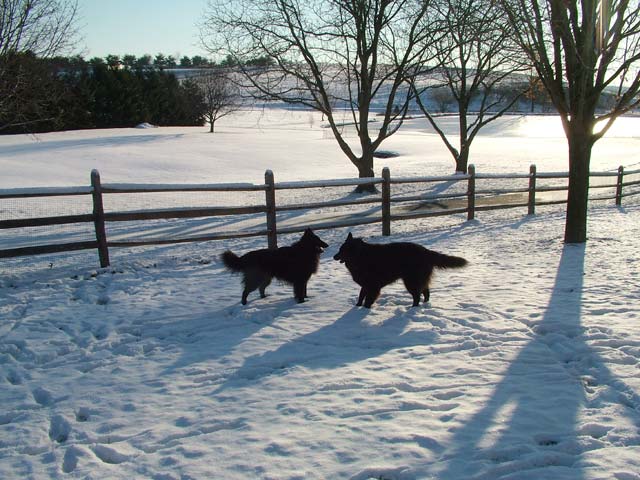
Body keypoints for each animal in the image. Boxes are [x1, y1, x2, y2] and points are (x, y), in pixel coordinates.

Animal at [336, 232, 464, 308]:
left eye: (342, 250)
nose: (334, 256)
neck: (360, 256)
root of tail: (427, 251)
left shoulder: (373, 285)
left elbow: (368, 299)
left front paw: (365, 308)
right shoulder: (366, 285)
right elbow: (361, 295)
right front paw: (357, 306)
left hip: (411, 281)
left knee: (417, 295)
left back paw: (413, 308)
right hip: (419, 280)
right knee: (426, 292)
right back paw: (424, 304)